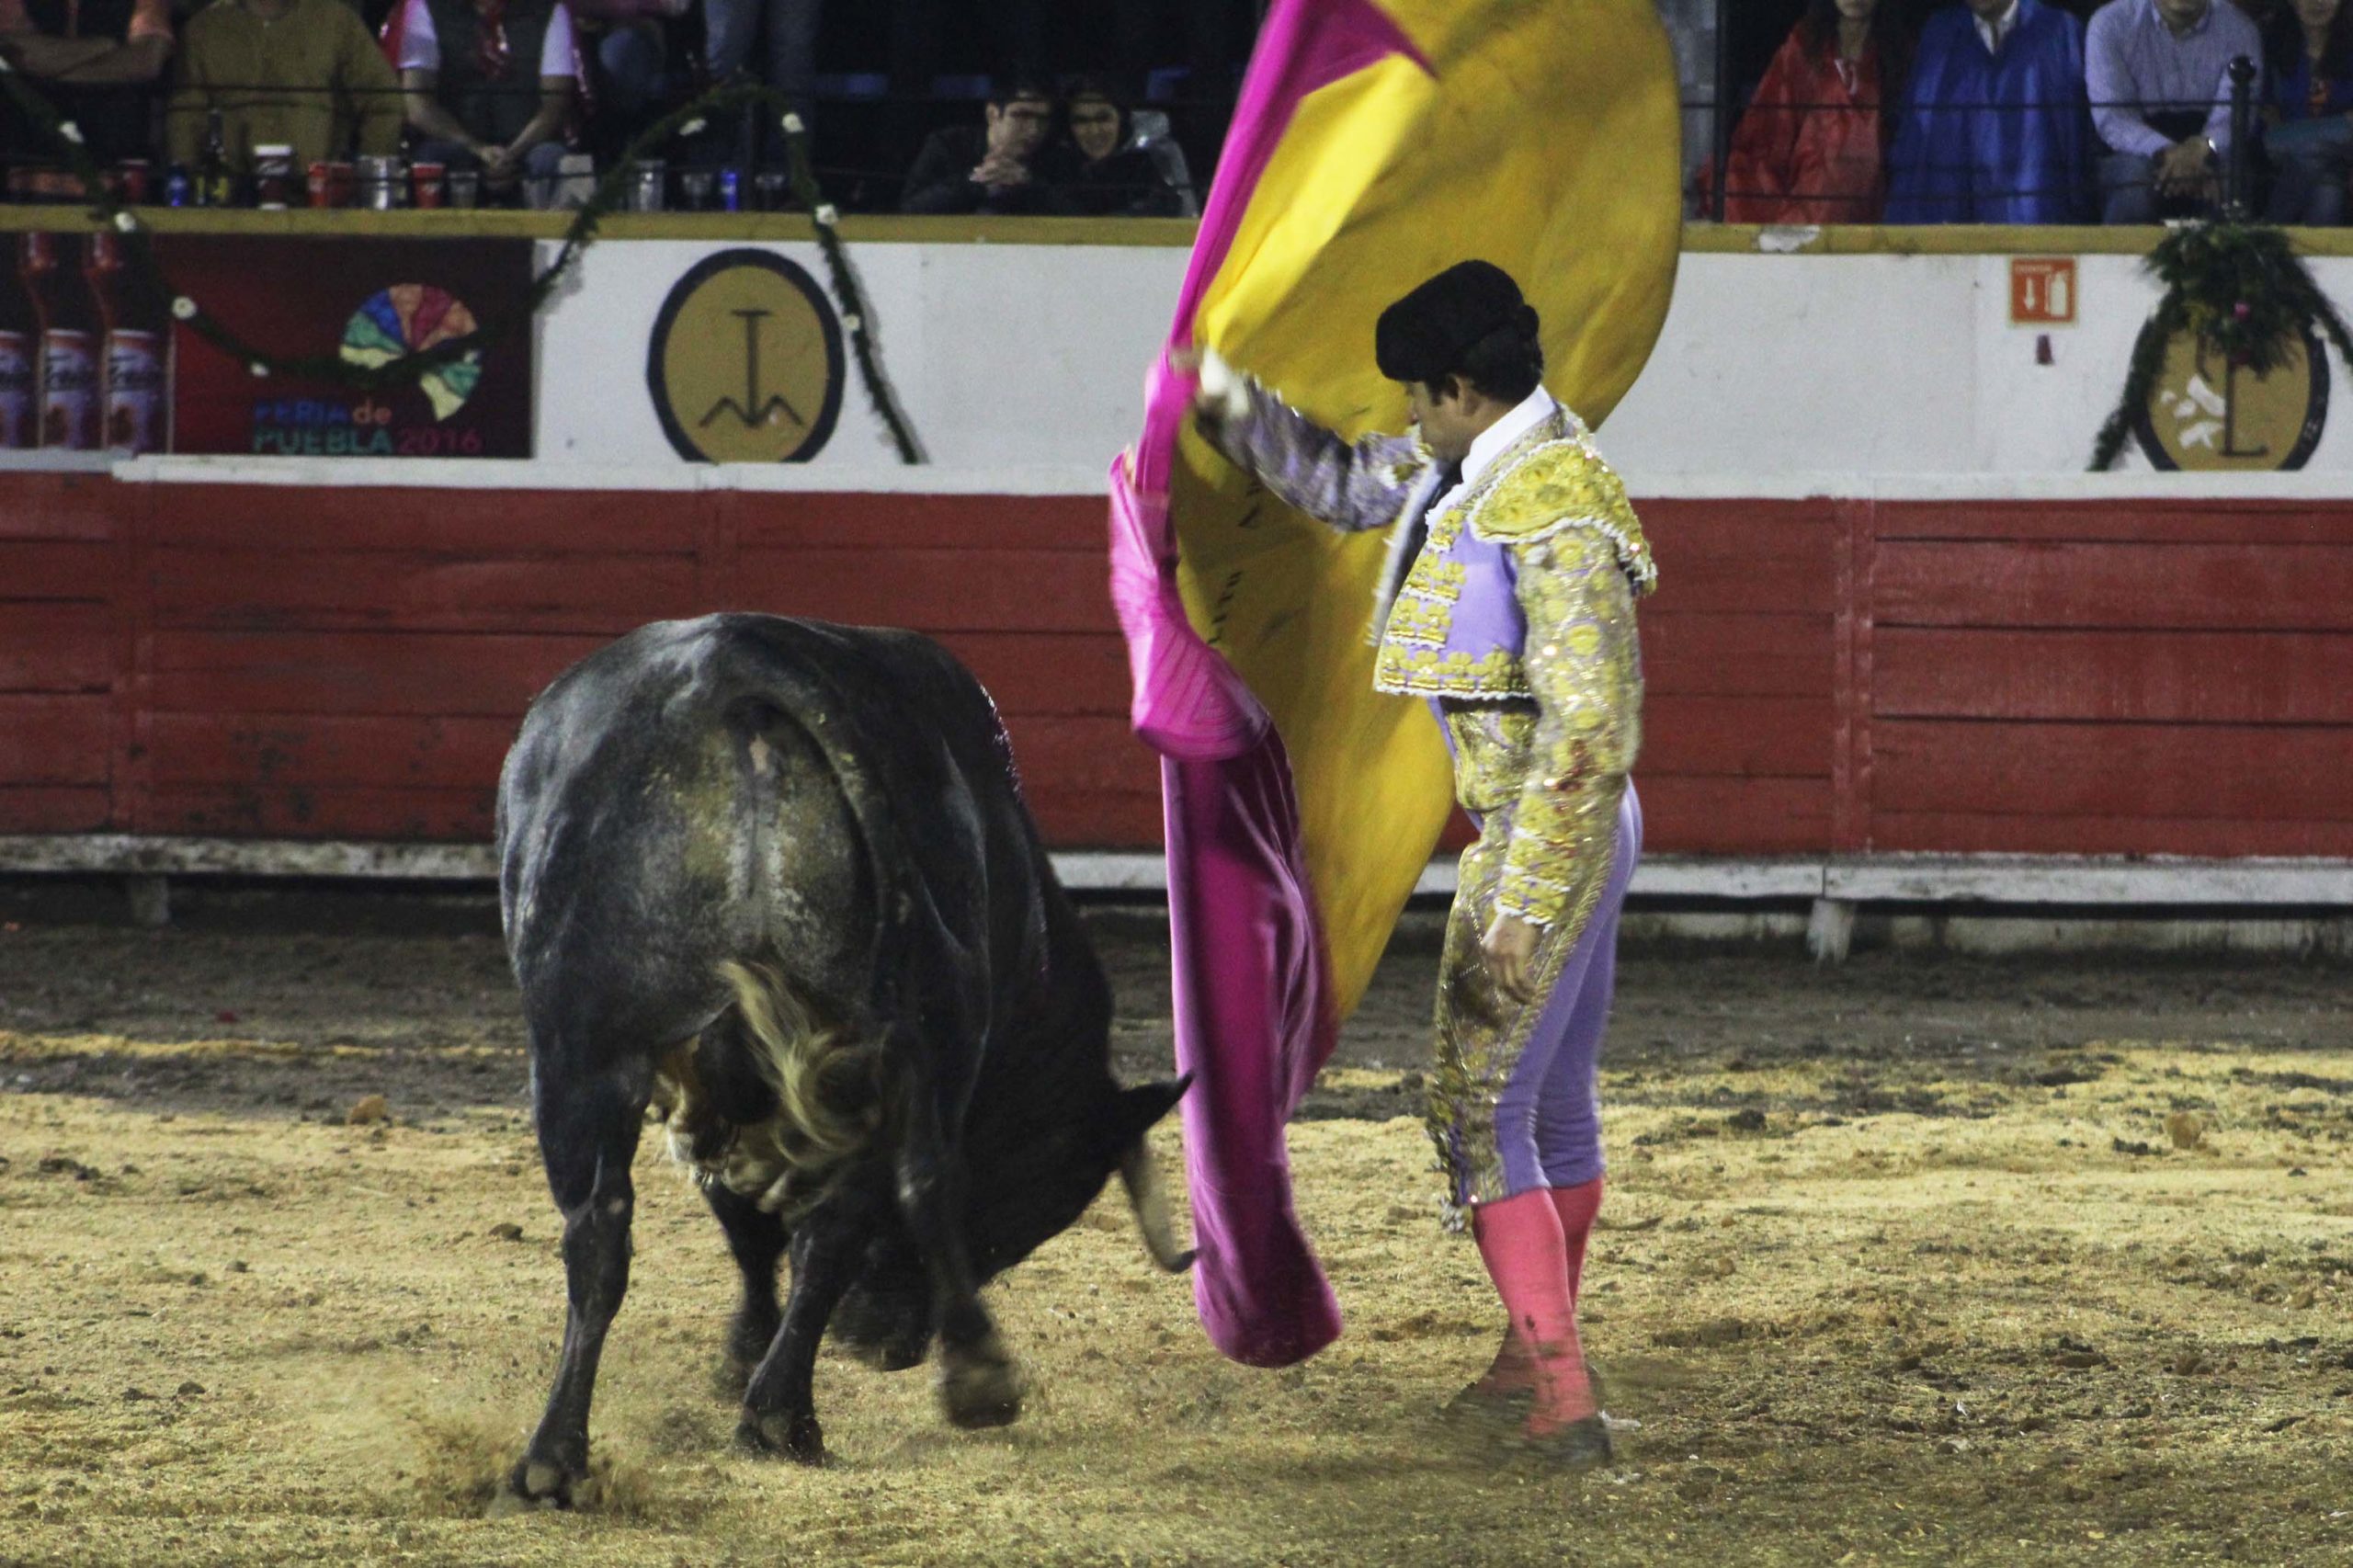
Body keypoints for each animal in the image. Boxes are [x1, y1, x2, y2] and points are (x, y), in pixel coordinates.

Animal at [498, 612, 1195, 1506]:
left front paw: (743, 1355)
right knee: (853, 1209)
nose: (885, 1345)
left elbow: (745, 1220)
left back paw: (561, 1458)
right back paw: (859, 1399)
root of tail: (740, 662)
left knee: (599, 1236)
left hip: (579, 1053)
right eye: (1029, 1213)